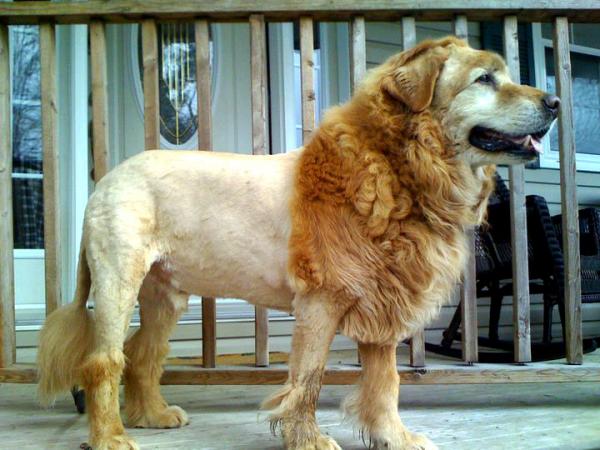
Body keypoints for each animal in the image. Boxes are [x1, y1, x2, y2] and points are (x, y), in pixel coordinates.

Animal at [37, 36, 558, 450]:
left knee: (143, 354)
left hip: (164, 295)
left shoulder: (382, 301)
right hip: (118, 280)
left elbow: (386, 382)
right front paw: (307, 441)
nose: (554, 101)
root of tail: (106, 179)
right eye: (485, 79)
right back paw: (111, 437)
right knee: (104, 360)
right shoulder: (320, 301)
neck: (399, 167)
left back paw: (152, 417)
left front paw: (394, 437)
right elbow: (307, 380)